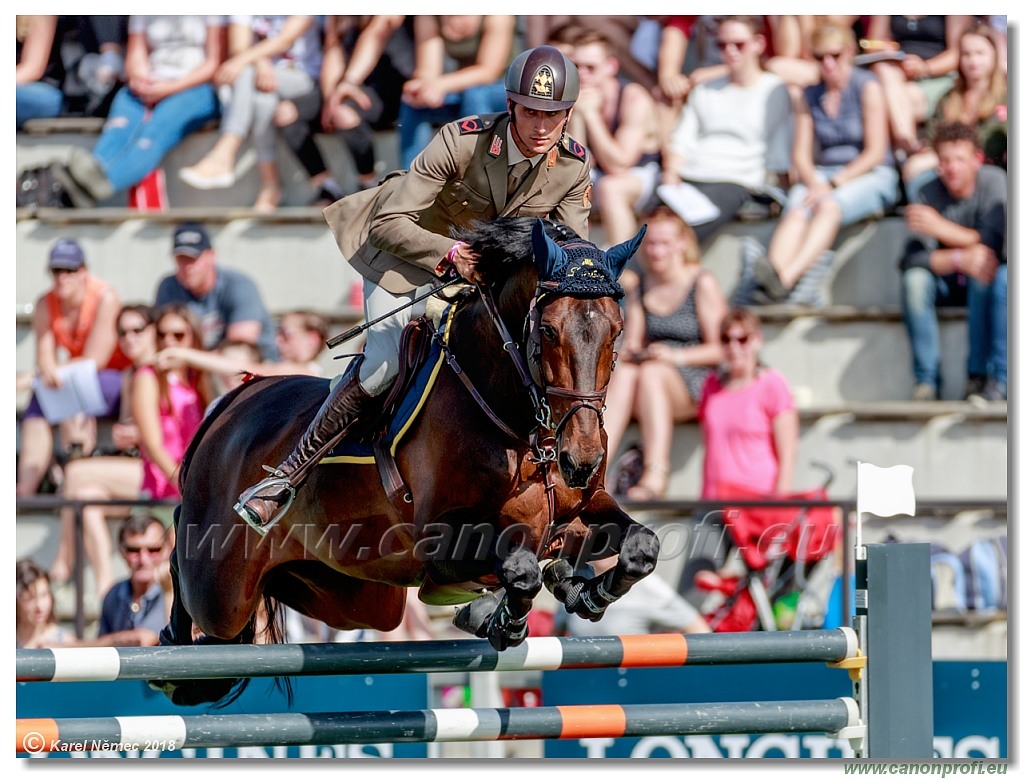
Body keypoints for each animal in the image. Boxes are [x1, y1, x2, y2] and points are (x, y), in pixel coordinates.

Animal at [155, 216, 659, 704]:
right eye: (549, 330)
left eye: (617, 331)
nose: (582, 459)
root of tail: (234, 401)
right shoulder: (442, 542)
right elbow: (519, 569)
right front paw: (504, 621)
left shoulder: (578, 511)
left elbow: (641, 547)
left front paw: (586, 593)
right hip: (220, 588)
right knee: (190, 579)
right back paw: (172, 659)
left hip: (352, 597)